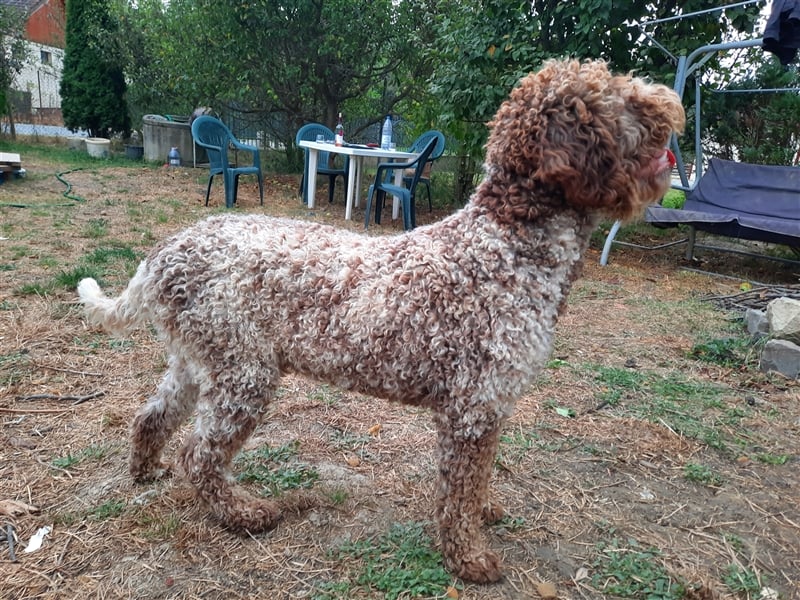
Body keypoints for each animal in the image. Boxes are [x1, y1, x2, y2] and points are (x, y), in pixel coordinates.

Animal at [78, 59, 684, 580]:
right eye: (616, 98)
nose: (669, 106)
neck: (505, 246)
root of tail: (165, 253)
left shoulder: (489, 407)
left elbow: (478, 481)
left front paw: (484, 516)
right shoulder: (473, 406)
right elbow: (458, 493)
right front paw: (469, 559)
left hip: (196, 360)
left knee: (151, 419)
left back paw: (146, 471)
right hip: (243, 371)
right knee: (200, 454)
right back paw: (245, 514)